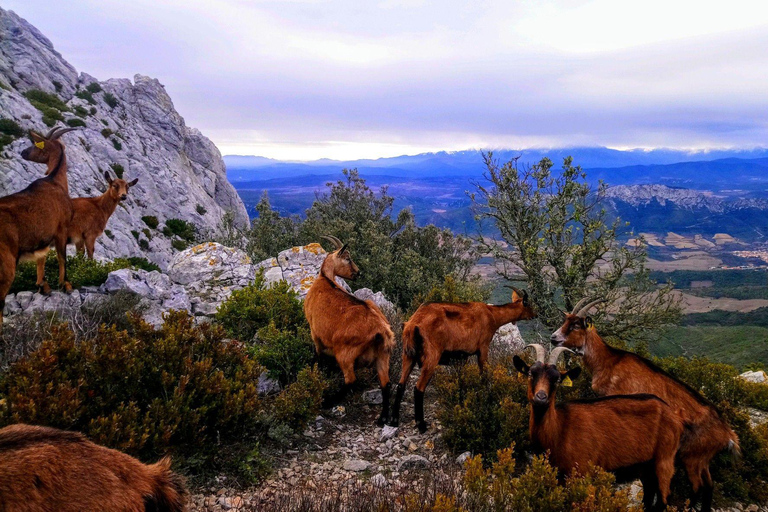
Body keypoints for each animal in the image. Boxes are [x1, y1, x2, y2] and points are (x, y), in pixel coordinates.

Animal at [304, 236, 396, 424]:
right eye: (348, 258)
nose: (358, 272)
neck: (325, 279)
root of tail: (381, 330)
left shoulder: (315, 332)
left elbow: (317, 356)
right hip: (383, 355)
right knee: (386, 383)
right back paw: (382, 417)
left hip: (345, 353)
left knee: (351, 380)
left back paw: (328, 401)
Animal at [390, 288, 536, 432]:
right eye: (528, 303)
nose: (535, 315)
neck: (492, 314)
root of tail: (413, 324)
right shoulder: (483, 347)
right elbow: (484, 375)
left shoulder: (462, 358)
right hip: (431, 356)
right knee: (418, 388)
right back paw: (421, 425)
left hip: (408, 355)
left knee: (401, 385)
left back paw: (394, 421)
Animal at [548, 298, 740, 510]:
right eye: (565, 321)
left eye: (575, 325)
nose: (553, 338)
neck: (609, 361)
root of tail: (727, 434)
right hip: (702, 460)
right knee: (709, 486)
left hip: (692, 458)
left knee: (697, 487)